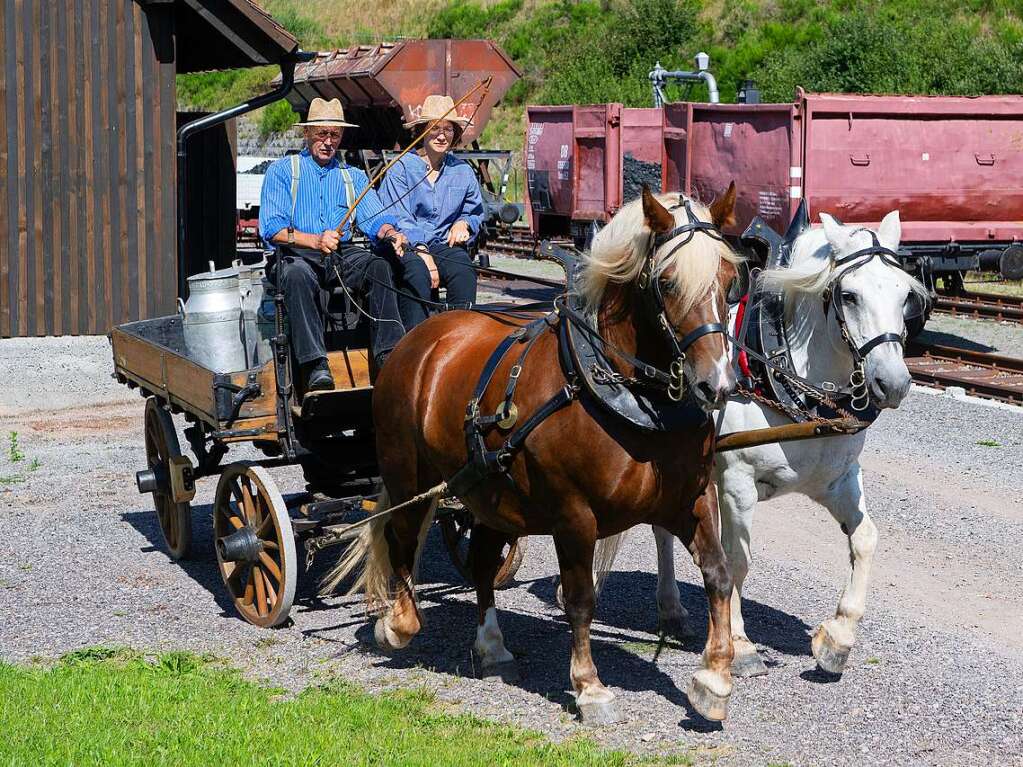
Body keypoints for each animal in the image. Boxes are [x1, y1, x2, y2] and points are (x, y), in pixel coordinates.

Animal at [327, 188, 744, 728]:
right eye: (667, 282)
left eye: (730, 282)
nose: (717, 384)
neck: (624, 392)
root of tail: (417, 339)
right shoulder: (574, 516)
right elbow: (581, 600)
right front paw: (589, 687)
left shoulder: (690, 500)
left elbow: (718, 575)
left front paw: (714, 679)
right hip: (406, 474)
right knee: (399, 537)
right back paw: (397, 623)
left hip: (485, 489)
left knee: (483, 563)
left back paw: (491, 646)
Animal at [593, 208, 928, 670]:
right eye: (850, 296)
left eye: (905, 296)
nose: (892, 383)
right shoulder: (737, 483)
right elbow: (737, 560)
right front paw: (740, 643)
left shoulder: (837, 480)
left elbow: (865, 539)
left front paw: (838, 637)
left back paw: (672, 610)